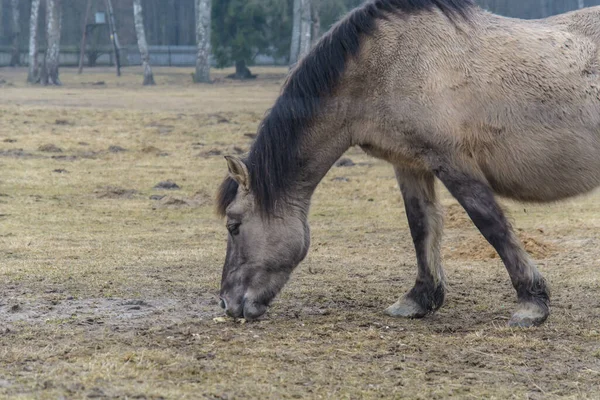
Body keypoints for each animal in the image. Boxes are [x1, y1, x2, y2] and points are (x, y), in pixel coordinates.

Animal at [217, 0, 600, 328]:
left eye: (233, 225)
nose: (226, 303)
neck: (385, 65)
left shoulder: (453, 162)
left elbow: (492, 225)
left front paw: (532, 303)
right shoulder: (410, 164)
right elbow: (421, 225)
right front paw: (420, 298)